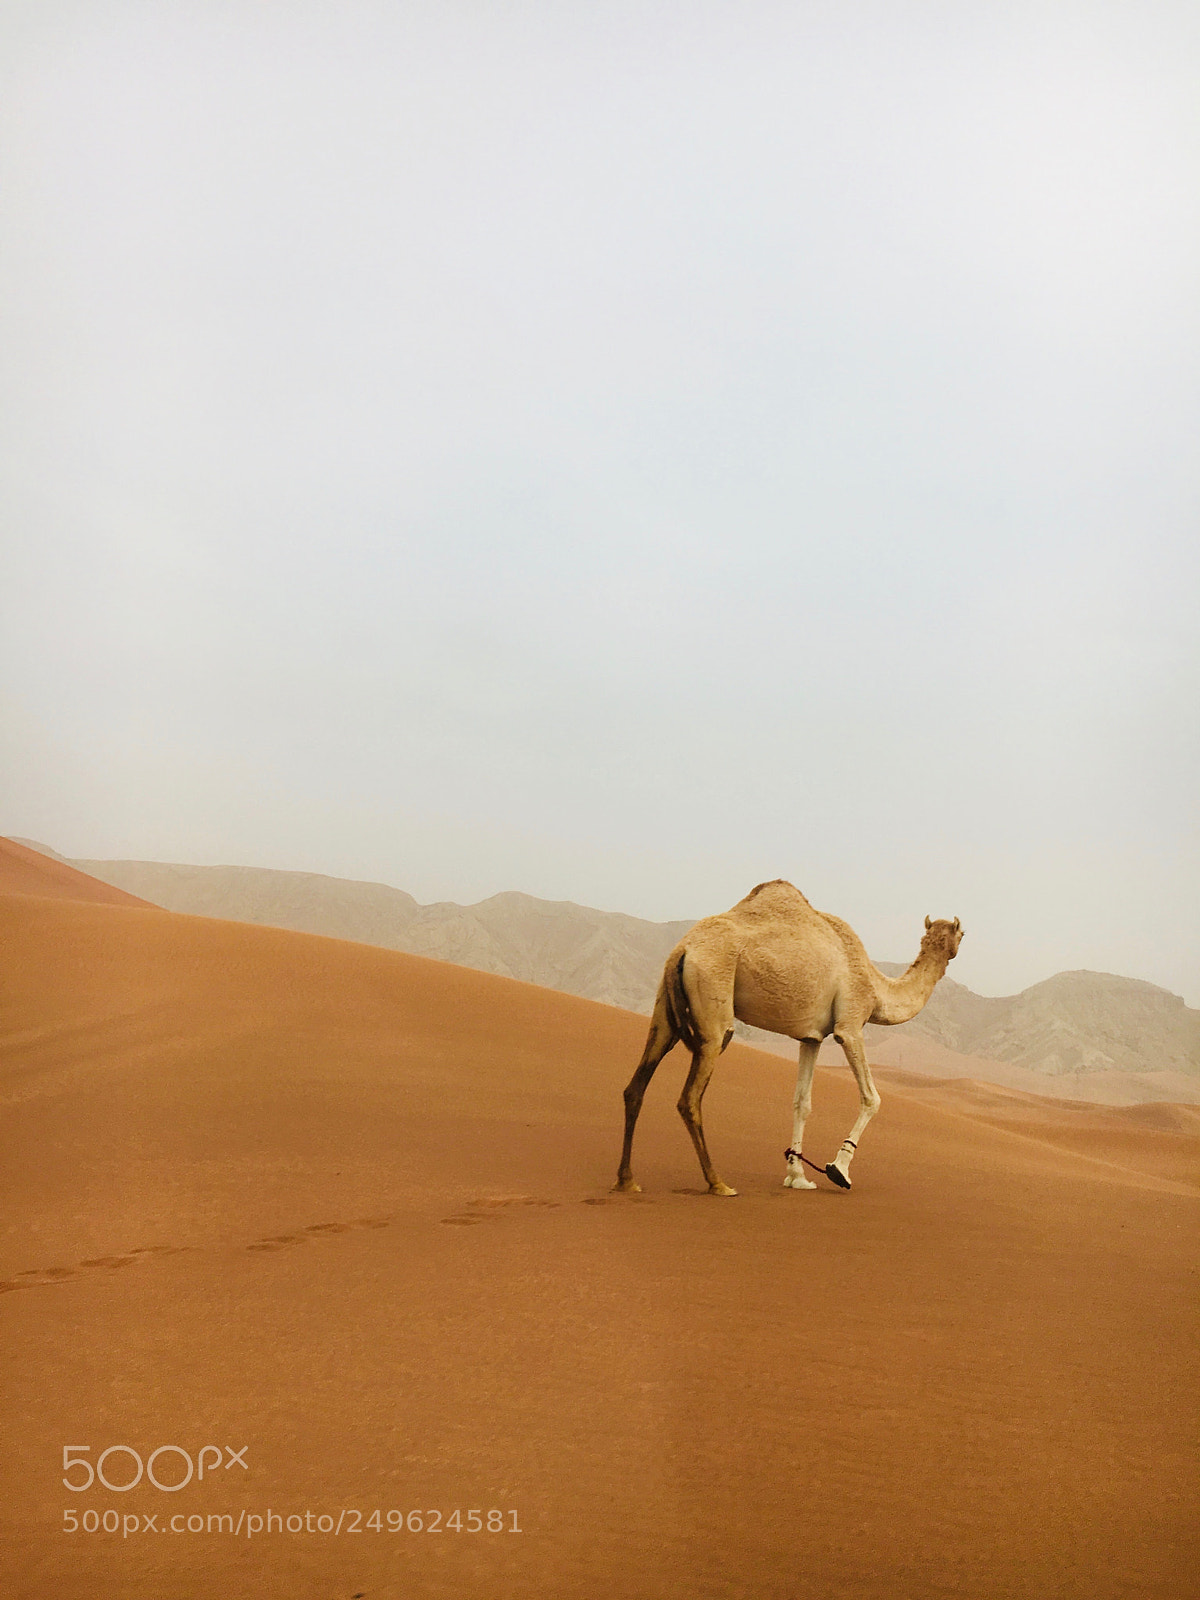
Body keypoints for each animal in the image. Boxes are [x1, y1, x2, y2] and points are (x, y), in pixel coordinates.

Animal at [614, 880, 963, 1196]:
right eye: (961, 933)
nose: (957, 944)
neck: (877, 989)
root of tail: (684, 949)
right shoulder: (849, 1025)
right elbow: (872, 1098)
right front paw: (839, 1170)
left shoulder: (811, 1038)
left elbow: (801, 1103)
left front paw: (797, 1177)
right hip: (714, 1007)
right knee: (689, 1098)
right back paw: (718, 1183)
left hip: (664, 1011)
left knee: (636, 1086)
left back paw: (627, 1180)